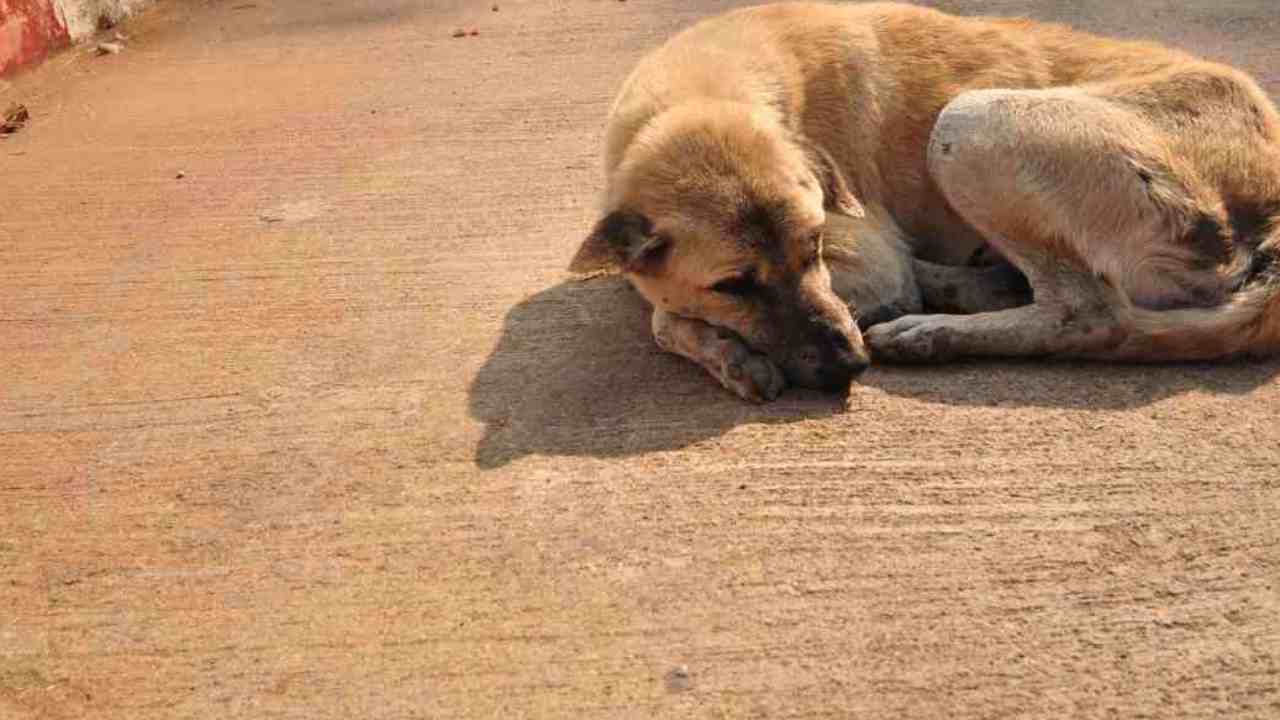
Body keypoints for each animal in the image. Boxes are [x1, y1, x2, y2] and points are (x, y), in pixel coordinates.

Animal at [570, 2, 1280, 399]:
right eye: (733, 285)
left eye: (814, 248)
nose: (849, 365)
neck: (706, 90)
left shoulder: (867, 260)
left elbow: (661, 320)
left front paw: (729, 353)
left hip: (969, 119)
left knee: (1088, 313)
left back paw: (929, 331)